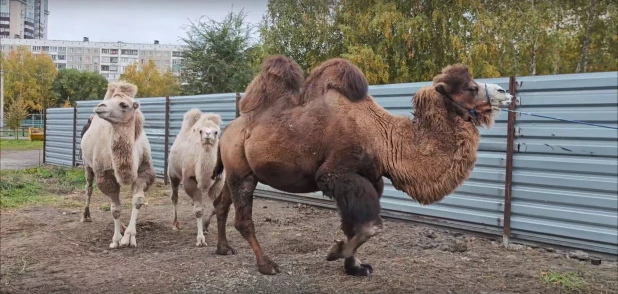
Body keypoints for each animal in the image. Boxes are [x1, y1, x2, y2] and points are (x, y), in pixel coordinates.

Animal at [209, 55, 508, 276]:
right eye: (470, 88)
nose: (504, 92)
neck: (384, 138)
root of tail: (227, 132)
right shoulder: (337, 173)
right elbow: (370, 226)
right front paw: (337, 252)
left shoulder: (370, 178)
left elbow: (352, 225)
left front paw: (355, 267)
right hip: (242, 172)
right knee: (243, 219)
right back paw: (267, 265)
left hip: (237, 171)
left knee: (221, 203)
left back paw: (223, 248)